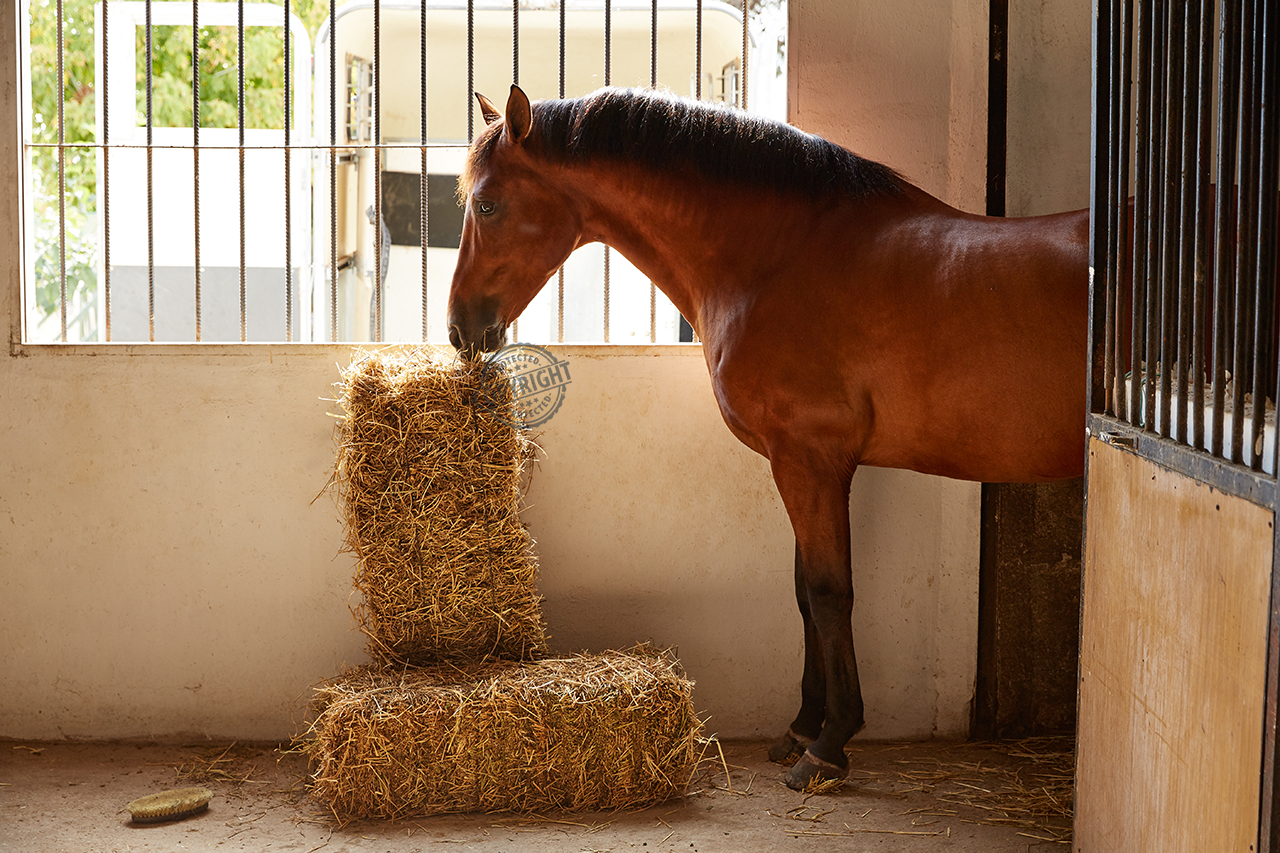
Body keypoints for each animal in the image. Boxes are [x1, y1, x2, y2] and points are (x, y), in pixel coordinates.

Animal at [445, 84, 1085, 783]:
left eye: (487, 203)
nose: (458, 329)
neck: (779, 259)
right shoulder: (800, 463)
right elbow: (804, 593)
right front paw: (803, 727)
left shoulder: (809, 460)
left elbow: (830, 594)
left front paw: (829, 745)